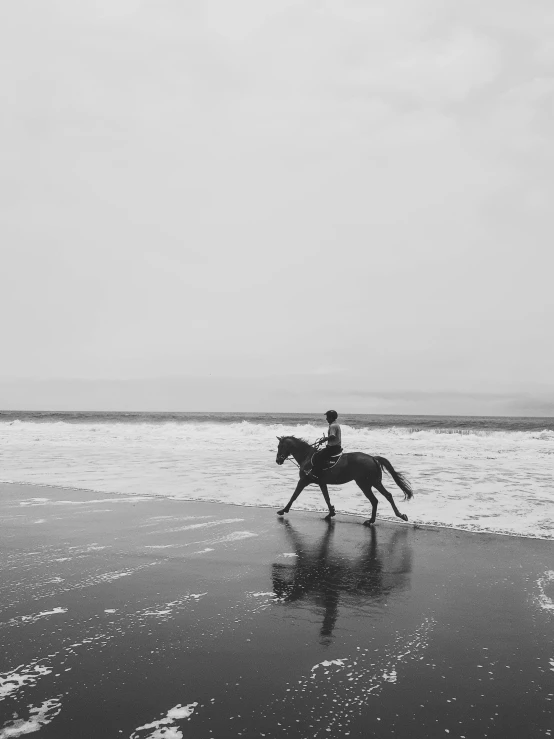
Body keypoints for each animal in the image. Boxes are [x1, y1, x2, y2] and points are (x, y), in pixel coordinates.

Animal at [274, 440, 412, 528]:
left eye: (280, 446)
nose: (278, 460)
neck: (307, 456)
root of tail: (373, 458)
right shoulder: (322, 483)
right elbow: (327, 498)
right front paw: (331, 513)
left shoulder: (303, 481)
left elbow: (294, 495)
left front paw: (283, 510)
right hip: (373, 482)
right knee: (384, 497)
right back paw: (392, 517)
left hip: (365, 483)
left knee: (377, 499)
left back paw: (380, 519)